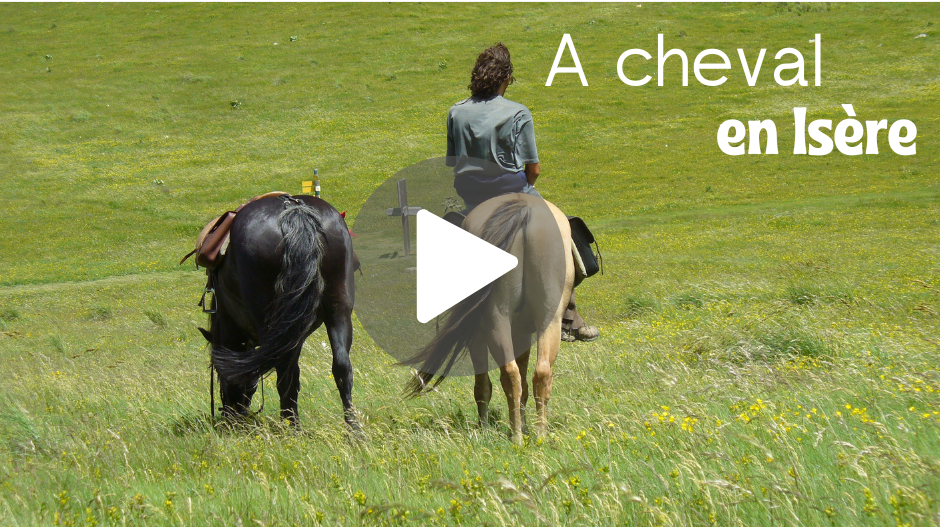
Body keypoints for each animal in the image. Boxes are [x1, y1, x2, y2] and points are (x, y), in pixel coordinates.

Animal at [204, 195, 360, 430]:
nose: (231, 417)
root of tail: (293, 208)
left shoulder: (229, 324)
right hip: (338, 310)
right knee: (341, 367)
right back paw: (354, 430)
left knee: (286, 373)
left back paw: (291, 427)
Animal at [404, 193, 574, 442]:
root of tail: (524, 209)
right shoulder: (521, 333)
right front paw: (522, 425)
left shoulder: (477, 336)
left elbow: (482, 384)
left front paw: (483, 428)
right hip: (545, 319)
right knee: (538, 374)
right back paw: (535, 435)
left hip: (496, 320)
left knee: (510, 375)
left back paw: (516, 437)